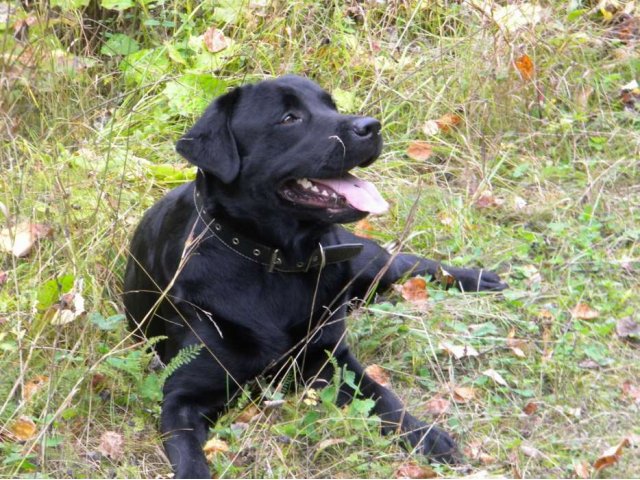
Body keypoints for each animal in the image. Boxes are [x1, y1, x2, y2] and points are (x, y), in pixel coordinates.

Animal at [122, 77, 508, 478]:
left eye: (332, 106)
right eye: (289, 118)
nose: (372, 126)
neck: (275, 262)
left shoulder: (332, 357)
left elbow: (383, 395)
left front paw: (424, 434)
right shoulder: (181, 396)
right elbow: (191, 460)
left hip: (361, 263)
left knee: (401, 262)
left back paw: (476, 278)